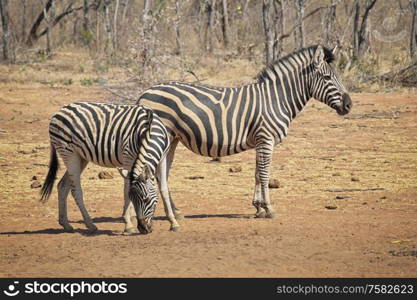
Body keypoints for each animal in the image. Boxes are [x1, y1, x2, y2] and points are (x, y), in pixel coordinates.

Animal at [37, 102, 177, 233]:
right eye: (134, 199)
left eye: (146, 199)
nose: (143, 229)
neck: (149, 131)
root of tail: (60, 111)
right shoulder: (128, 159)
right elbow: (126, 191)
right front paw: (128, 225)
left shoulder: (162, 158)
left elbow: (163, 189)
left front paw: (173, 222)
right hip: (69, 153)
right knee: (75, 190)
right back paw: (90, 224)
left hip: (81, 157)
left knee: (62, 186)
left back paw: (66, 224)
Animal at [138, 44, 352, 227]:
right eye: (327, 77)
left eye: (338, 76)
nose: (349, 105)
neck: (277, 99)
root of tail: (145, 92)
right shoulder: (266, 138)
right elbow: (265, 174)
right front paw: (269, 208)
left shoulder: (260, 140)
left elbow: (257, 173)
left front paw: (258, 207)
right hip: (161, 137)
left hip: (172, 139)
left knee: (161, 175)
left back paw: (175, 211)